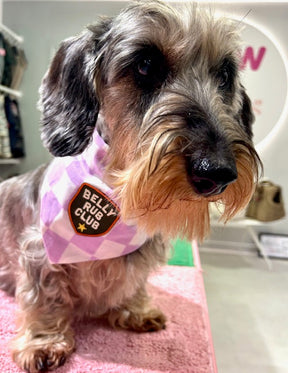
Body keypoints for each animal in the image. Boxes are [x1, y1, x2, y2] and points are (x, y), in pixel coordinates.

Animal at [0, 1, 260, 370]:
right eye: (146, 65)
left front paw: (135, 309)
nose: (218, 172)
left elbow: (133, 283)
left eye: (224, 74)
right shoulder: (39, 251)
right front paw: (43, 341)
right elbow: (44, 297)